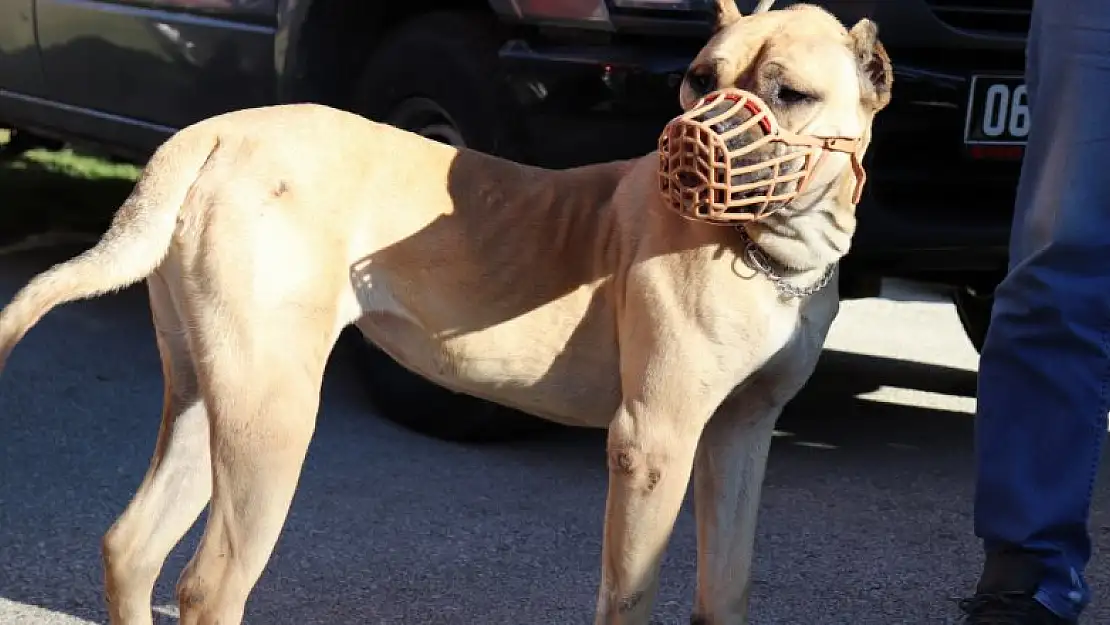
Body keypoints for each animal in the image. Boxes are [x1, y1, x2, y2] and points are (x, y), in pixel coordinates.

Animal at [0, 2, 888, 621]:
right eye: (701, 77)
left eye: (790, 93)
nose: (684, 145)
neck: (768, 252)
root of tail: (209, 134)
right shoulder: (654, 442)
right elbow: (629, 592)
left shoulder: (740, 435)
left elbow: (726, 585)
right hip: (269, 419)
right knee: (208, 584)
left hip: (204, 398)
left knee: (131, 546)